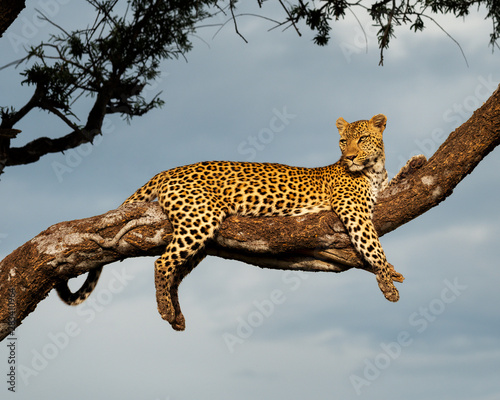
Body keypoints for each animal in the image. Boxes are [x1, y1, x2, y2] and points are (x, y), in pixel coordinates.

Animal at [56, 113, 404, 332]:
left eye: (363, 138)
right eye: (343, 141)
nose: (350, 157)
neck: (374, 169)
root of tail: (168, 170)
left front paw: (392, 273)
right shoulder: (353, 209)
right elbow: (373, 245)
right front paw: (388, 282)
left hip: (199, 232)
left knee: (176, 272)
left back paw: (176, 316)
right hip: (200, 218)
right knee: (162, 263)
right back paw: (166, 310)